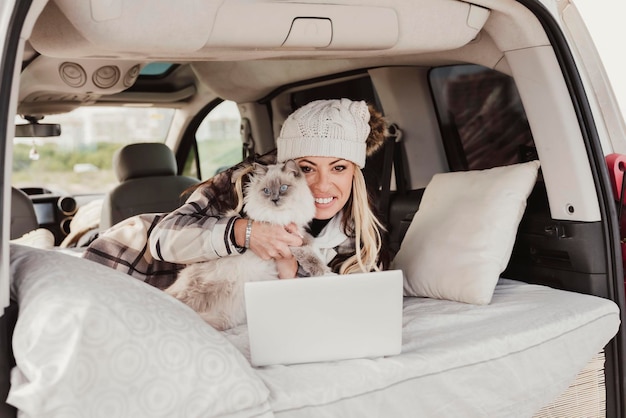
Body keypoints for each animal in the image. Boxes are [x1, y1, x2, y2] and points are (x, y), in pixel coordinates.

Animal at [163, 159, 330, 330]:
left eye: (283, 188)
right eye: (266, 191)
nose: (275, 200)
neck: (282, 216)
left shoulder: (298, 232)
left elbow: (309, 243)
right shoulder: (284, 238)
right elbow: (306, 252)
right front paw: (323, 271)